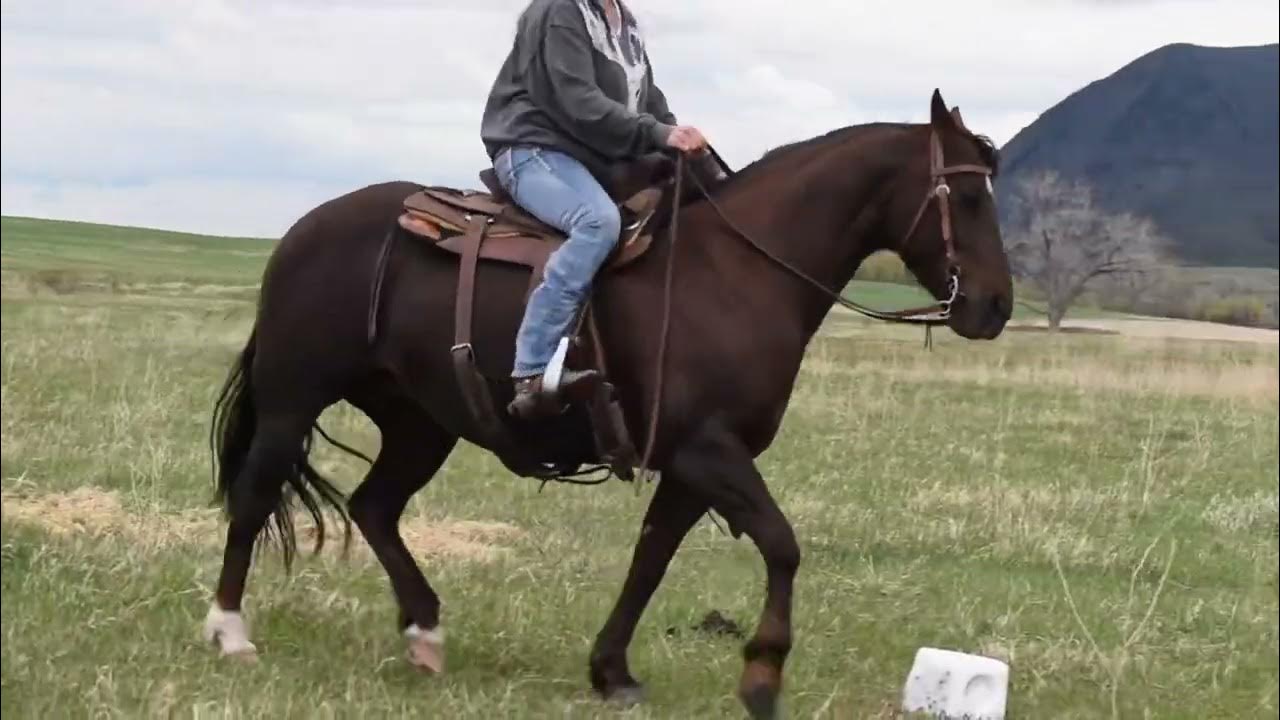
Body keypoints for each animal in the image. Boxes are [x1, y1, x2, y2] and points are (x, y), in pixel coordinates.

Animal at [203, 89, 1012, 719]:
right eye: (970, 196)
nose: (995, 307)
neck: (734, 273)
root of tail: (303, 231)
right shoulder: (707, 450)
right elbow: (781, 544)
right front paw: (760, 675)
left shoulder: (689, 466)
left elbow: (650, 559)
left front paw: (611, 670)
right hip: (293, 400)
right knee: (256, 495)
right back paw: (230, 630)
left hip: (420, 424)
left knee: (375, 507)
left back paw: (425, 634)